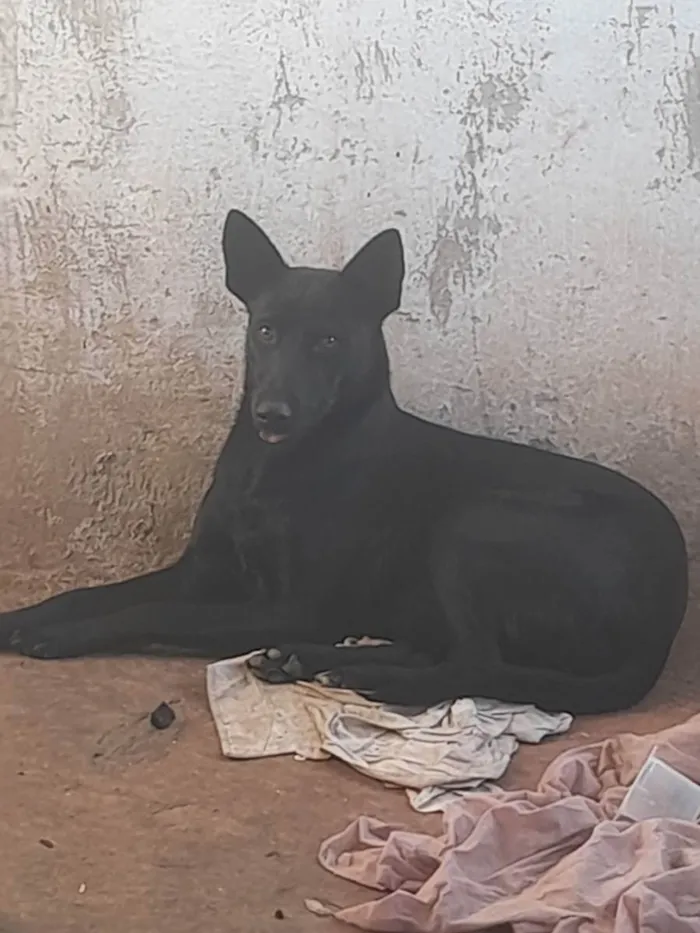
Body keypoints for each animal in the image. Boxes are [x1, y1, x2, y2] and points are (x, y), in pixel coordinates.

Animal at [0, 208, 688, 708]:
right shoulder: (203, 570)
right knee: (439, 648)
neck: (274, 469)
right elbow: (91, 593)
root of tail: (669, 614)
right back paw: (310, 659)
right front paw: (23, 616)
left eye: (329, 340)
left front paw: (58, 637)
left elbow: (151, 610)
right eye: (266, 330)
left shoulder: (289, 606)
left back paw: (373, 678)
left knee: (474, 663)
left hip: (478, 523)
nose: (271, 414)